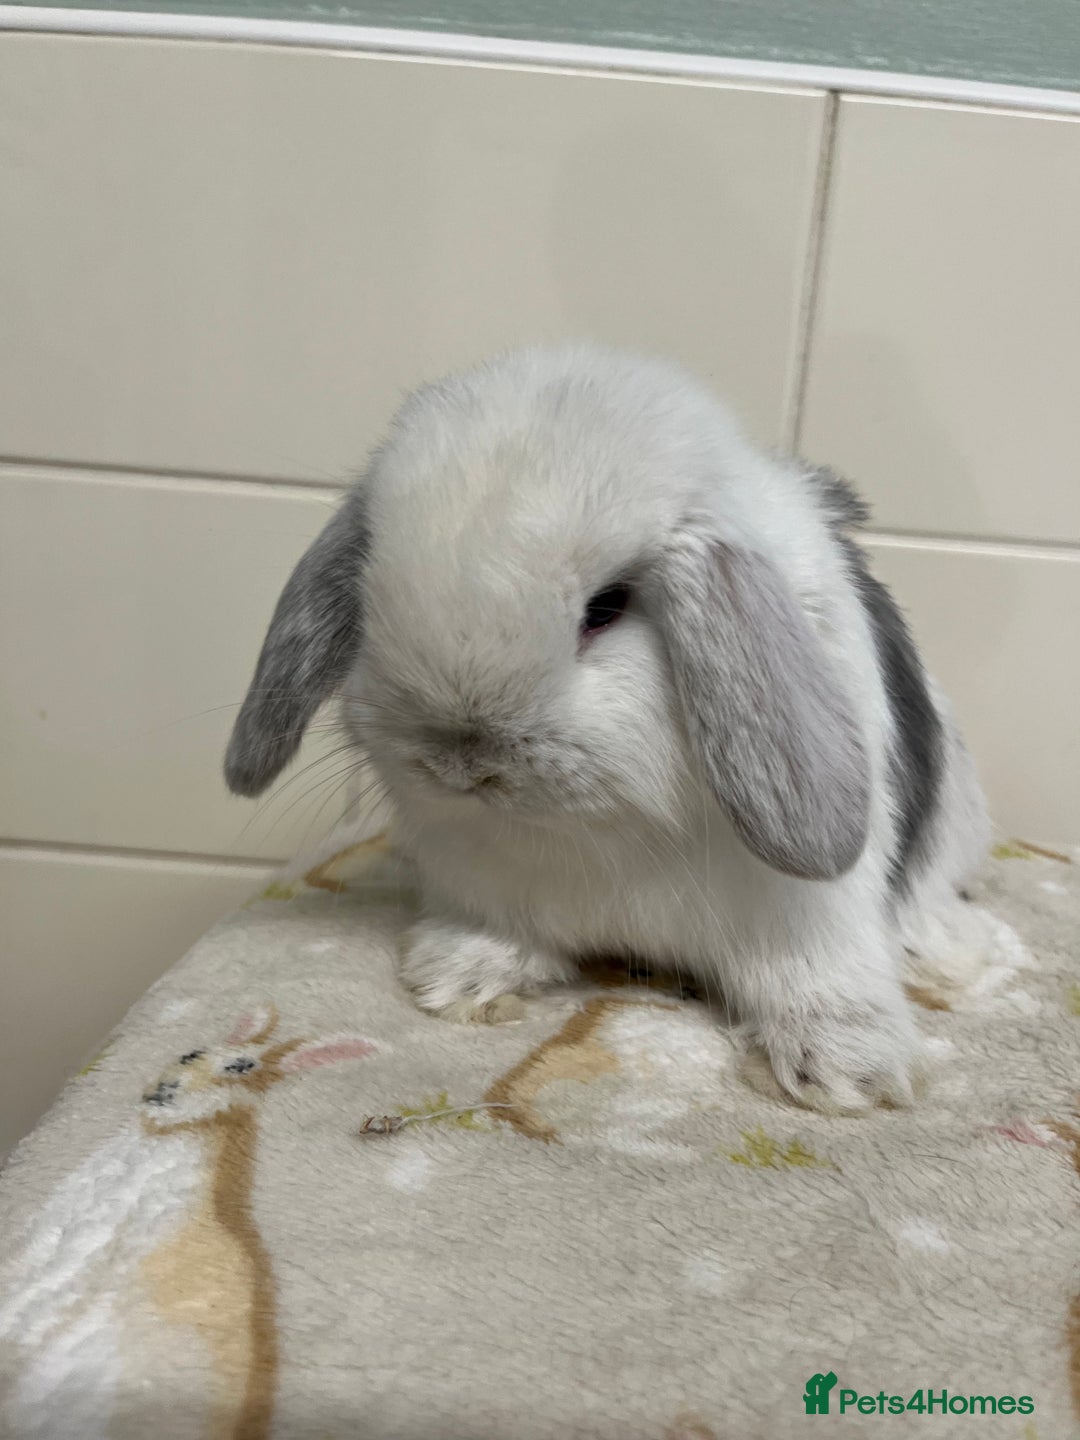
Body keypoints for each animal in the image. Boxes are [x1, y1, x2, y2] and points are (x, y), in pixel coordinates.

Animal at [225, 344, 992, 1115]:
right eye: (371, 583)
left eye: (607, 607)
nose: (461, 757)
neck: (607, 832)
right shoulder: (486, 887)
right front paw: (461, 980)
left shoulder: (809, 921)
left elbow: (817, 984)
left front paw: (846, 1075)